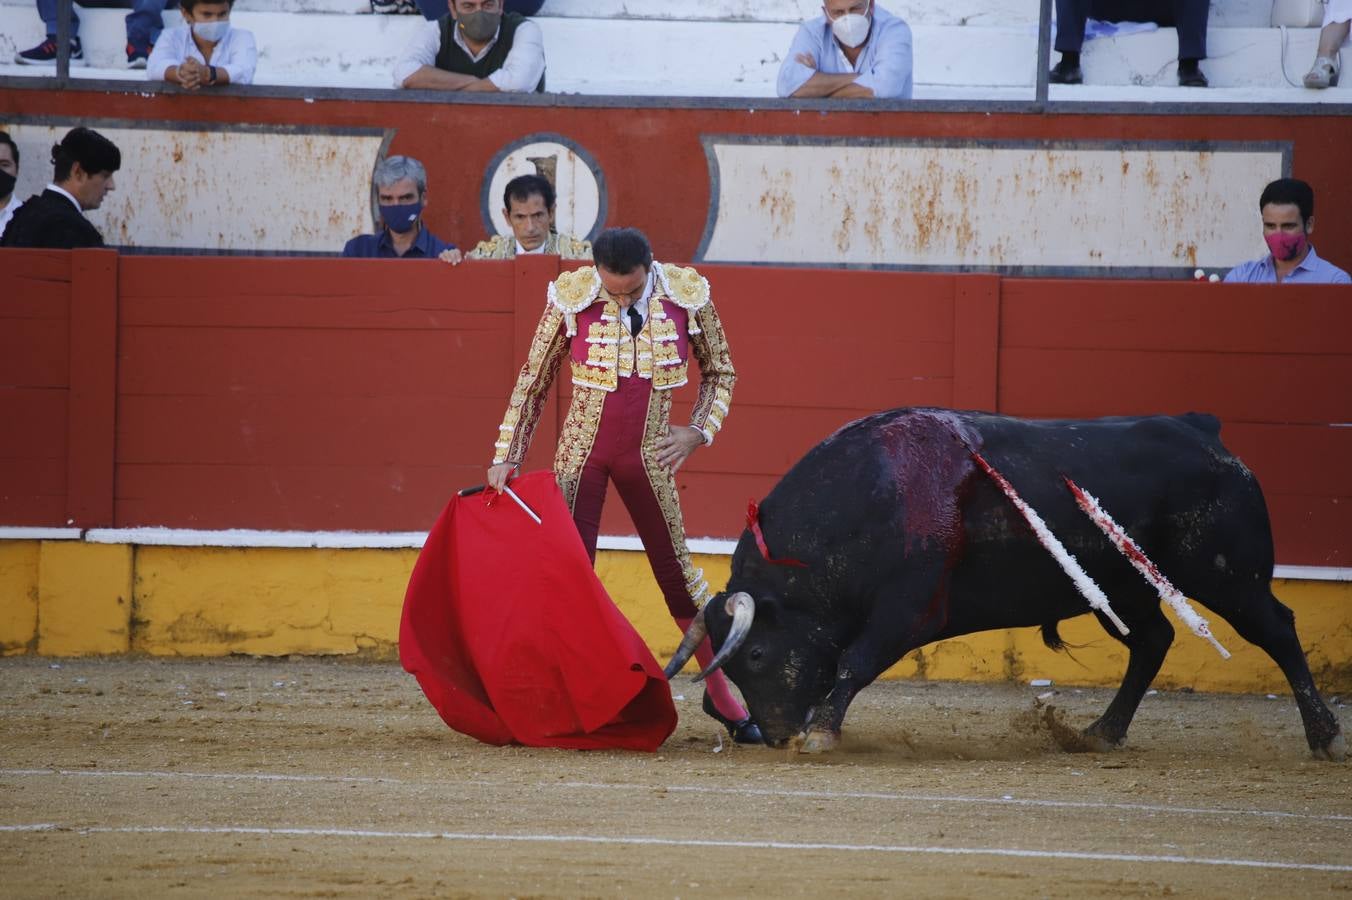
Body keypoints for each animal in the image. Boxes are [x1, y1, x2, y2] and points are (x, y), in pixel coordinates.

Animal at [670, 408, 1346, 756]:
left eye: (757, 654)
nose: (776, 735)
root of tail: (1208, 434)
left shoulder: (909, 610)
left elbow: (853, 663)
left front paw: (821, 733)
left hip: (1229, 576)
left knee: (1277, 631)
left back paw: (1325, 737)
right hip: (1124, 590)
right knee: (1153, 641)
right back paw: (1101, 733)